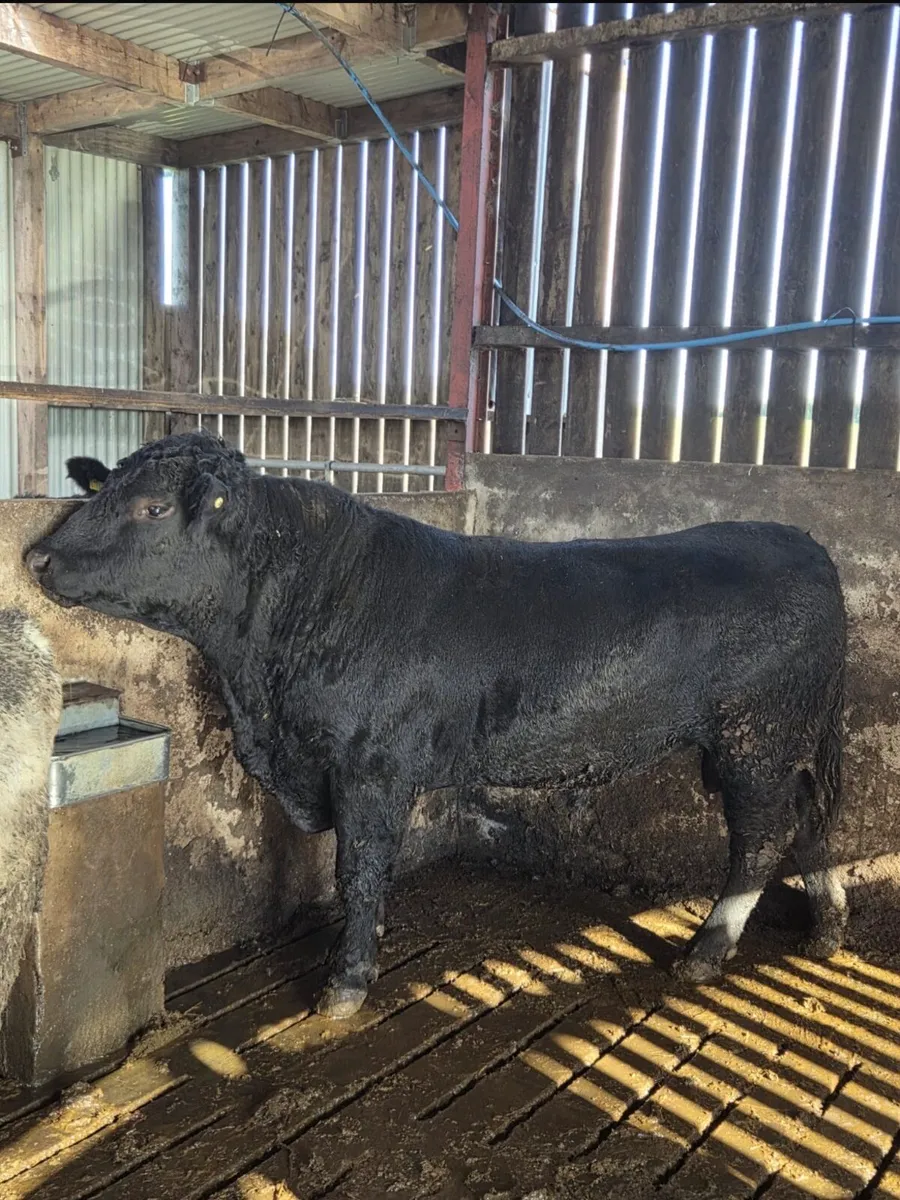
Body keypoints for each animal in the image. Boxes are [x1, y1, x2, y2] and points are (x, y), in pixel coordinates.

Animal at [26, 432, 848, 1019]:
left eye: (153, 509)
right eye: (104, 490)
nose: (36, 555)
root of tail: (802, 542)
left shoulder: (370, 767)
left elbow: (358, 868)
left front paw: (346, 982)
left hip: (754, 740)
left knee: (760, 837)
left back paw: (708, 949)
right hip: (787, 743)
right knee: (811, 818)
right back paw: (827, 929)